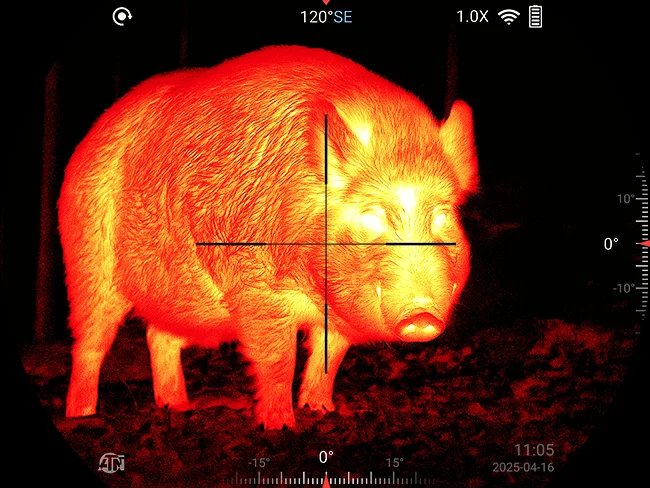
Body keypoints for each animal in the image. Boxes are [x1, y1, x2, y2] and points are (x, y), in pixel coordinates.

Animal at [59, 45, 478, 429]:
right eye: (371, 216)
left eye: (441, 216)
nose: (422, 315)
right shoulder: (256, 287)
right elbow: (280, 359)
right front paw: (280, 427)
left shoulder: (336, 316)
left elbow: (328, 359)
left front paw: (320, 412)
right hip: (88, 258)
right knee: (90, 343)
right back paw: (82, 415)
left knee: (159, 337)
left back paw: (178, 408)